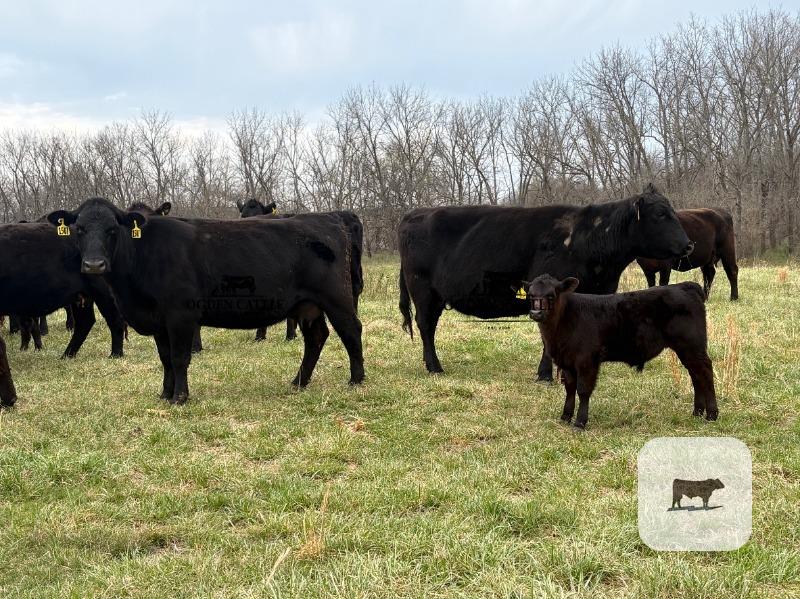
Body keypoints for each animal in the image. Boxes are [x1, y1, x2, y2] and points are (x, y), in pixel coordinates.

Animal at [0, 222, 127, 358]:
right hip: (82, 296)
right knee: (85, 322)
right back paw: (67, 355)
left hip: (103, 293)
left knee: (115, 319)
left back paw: (115, 354)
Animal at [237, 198, 365, 344]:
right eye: (243, 216)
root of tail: (348, 214)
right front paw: (260, 335)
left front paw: (290, 335)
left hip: (352, 264)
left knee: (354, 289)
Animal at [398, 185, 694, 380]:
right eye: (660, 215)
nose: (689, 244)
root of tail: (414, 214)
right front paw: (546, 374)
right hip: (422, 290)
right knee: (426, 326)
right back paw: (435, 367)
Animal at [526, 274, 717, 430]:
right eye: (531, 295)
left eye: (551, 295)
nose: (535, 312)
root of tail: (684, 286)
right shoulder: (567, 361)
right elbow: (570, 388)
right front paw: (565, 416)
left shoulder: (587, 361)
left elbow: (583, 390)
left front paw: (580, 422)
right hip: (687, 350)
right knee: (696, 375)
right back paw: (697, 412)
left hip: (693, 346)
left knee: (705, 372)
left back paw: (712, 414)